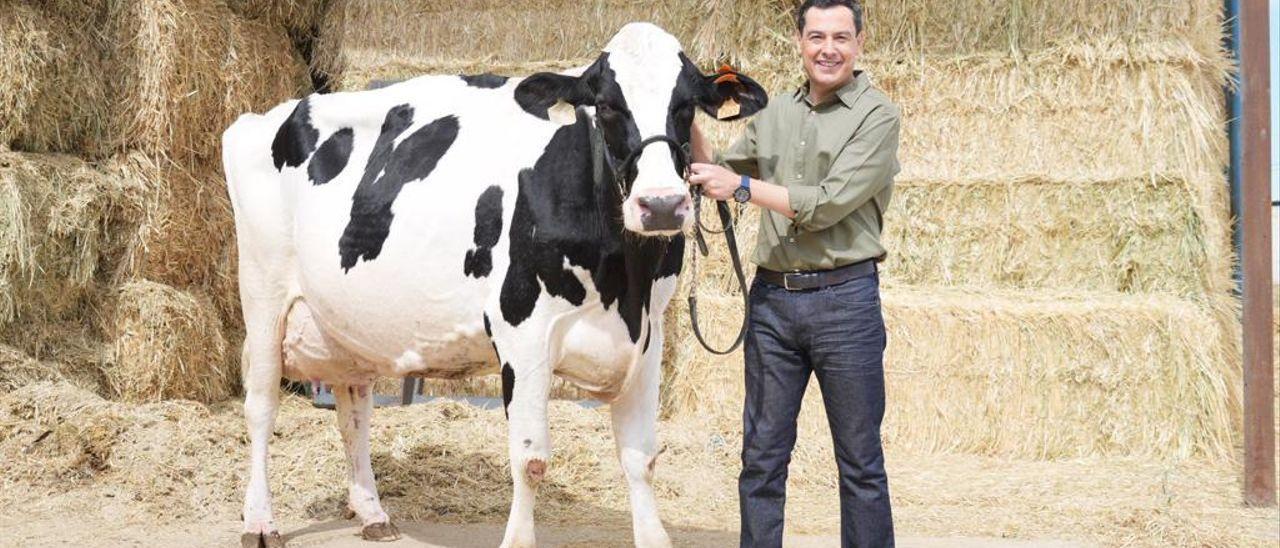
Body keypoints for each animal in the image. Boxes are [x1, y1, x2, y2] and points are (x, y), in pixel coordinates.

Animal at [222, 23, 767, 548]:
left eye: (685, 106)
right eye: (608, 105)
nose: (661, 205)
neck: (621, 281)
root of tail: (272, 114)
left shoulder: (647, 337)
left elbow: (641, 458)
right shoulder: (523, 333)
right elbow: (531, 459)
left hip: (347, 320)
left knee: (353, 408)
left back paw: (373, 513)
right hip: (263, 293)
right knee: (261, 405)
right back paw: (260, 522)